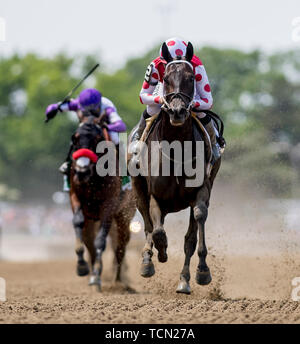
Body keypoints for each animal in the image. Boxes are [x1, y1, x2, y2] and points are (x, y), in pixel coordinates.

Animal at [69, 115, 135, 290]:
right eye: (75, 138)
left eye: (97, 138)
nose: (82, 171)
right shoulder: (75, 196)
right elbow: (79, 224)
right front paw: (82, 267)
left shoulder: (109, 205)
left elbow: (101, 240)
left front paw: (97, 274)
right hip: (92, 219)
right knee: (90, 243)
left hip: (124, 215)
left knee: (120, 247)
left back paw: (118, 282)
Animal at [127, 42, 221, 296]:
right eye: (166, 78)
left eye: (190, 78)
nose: (177, 111)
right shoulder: (155, 195)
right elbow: (157, 231)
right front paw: (157, 255)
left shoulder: (201, 191)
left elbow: (195, 227)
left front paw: (202, 272)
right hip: (138, 191)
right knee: (149, 225)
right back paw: (148, 261)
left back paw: (184, 280)